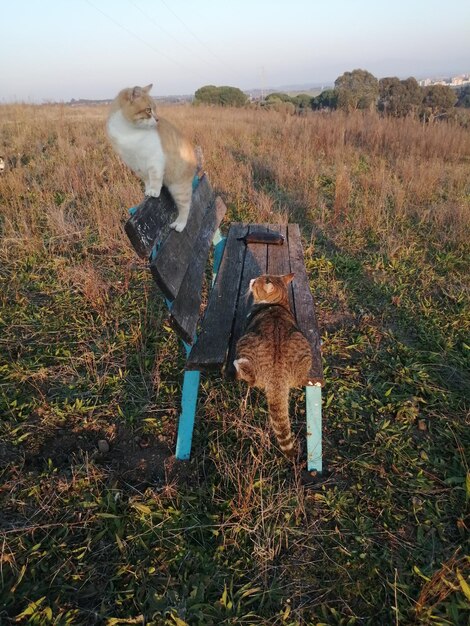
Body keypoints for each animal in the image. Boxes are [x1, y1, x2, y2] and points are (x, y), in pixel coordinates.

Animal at [107, 82, 197, 229]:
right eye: (148, 110)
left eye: (155, 109)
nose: (157, 119)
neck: (129, 132)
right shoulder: (135, 165)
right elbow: (146, 179)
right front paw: (148, 191)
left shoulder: (155, 159)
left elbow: (154, 177)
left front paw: (154, 191)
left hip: (179, 187)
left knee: (186, 207)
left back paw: (180, 224)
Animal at [234, 272, 312, 458]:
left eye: (256, 282)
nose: (251, 280)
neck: (276, 303)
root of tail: (278, 376)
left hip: (245, 341)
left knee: (251, 378)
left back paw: (237, 363)